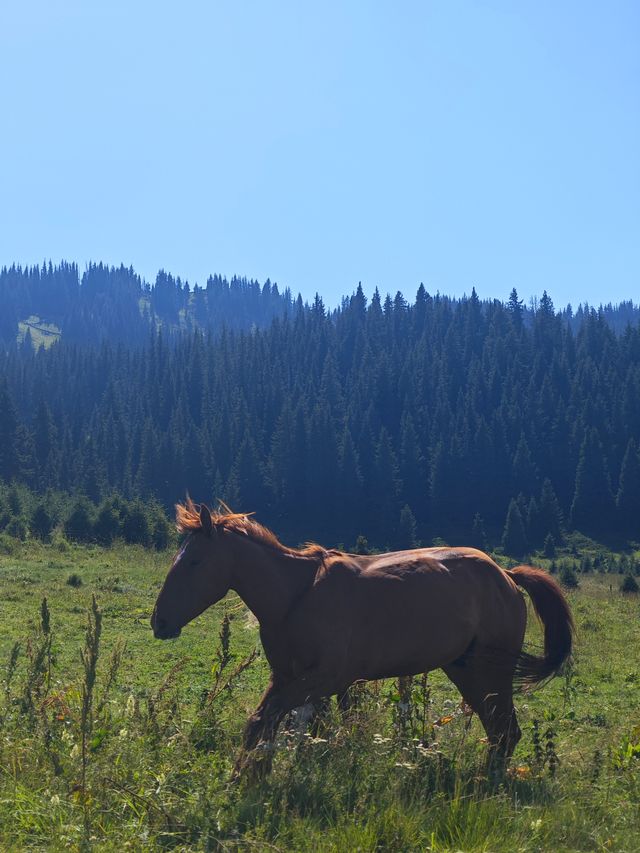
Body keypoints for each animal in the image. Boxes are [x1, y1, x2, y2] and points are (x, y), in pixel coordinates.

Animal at [151, 502, 576, 776]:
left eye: (194, 562)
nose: (159, 622)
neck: (296, 596)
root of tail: (507, 575)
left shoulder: (322, 680)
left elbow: (263, 721)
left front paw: (246, 776)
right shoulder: (287, 679)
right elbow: (269, 725)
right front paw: (254, 771)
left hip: (490, 673)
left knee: (506, 731)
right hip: (467, 672)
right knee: (500, 732)